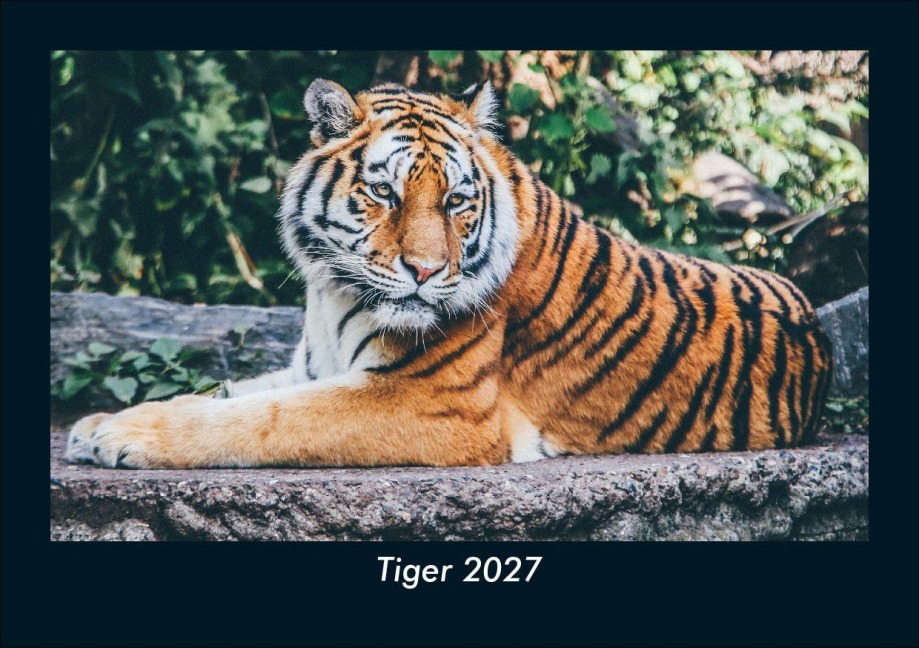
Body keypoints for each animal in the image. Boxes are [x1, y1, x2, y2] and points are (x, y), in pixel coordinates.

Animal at [66, 79, 833, 469]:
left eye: (458, 201)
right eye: (384, 193)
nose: (427, 271)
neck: (331, 293)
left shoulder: (431, 403)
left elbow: (262, 419)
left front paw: (121, 437)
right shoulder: (313, 366)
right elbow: (227, 393)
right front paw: (100, 422)